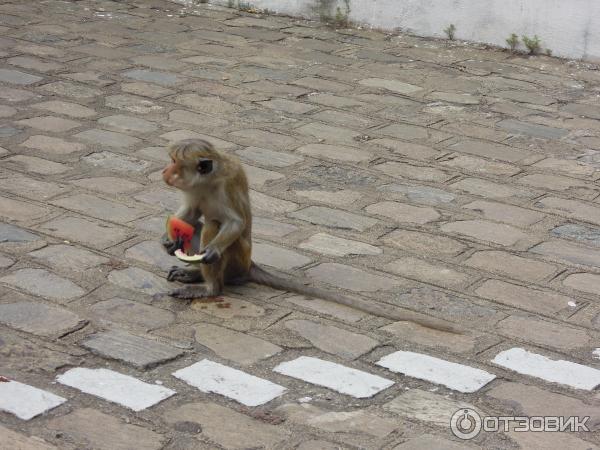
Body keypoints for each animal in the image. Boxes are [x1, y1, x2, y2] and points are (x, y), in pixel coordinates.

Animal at [161, 138, 464, 334]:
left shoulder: (224, 184)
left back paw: (210, 287)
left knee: (212, 225)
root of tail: (249, 265)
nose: (165, 171)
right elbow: (188, 216)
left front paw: (210, 252)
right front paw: (169, 240)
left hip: (237, 260)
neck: (207, 180)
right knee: (199, 224)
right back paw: (195, 274)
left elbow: (234, 222)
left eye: (175, 162)